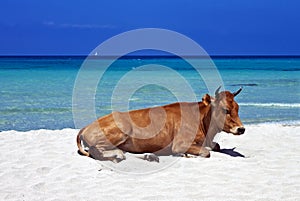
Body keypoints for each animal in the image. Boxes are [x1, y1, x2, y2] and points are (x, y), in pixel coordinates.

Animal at [76, 87, 245, 163]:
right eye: (225, 110)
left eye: (238, 108)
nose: (241, 129)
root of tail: (87, 126)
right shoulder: (180, 144)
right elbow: (206, 152)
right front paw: (186, 154)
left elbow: (216, 146)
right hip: (121, 130)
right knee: (95, 151)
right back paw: (117, 155)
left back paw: (148, 156)